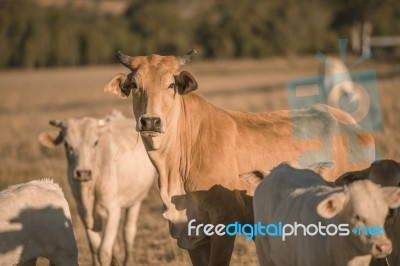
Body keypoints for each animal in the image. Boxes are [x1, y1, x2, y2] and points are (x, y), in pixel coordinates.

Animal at [37, 110, 156, 266]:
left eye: (95, 142)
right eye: (67, 144)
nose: (83, 173)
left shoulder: (112, 209)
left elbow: (103, 251)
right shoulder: (82, 211)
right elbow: (94, 245)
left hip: (136, 200)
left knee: (128, 232)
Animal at [104, 50, 376, 266]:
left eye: (171, 85)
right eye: (134, 85)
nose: (150, 121)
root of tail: (351, 124)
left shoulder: (224, 227)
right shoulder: (192, 236)